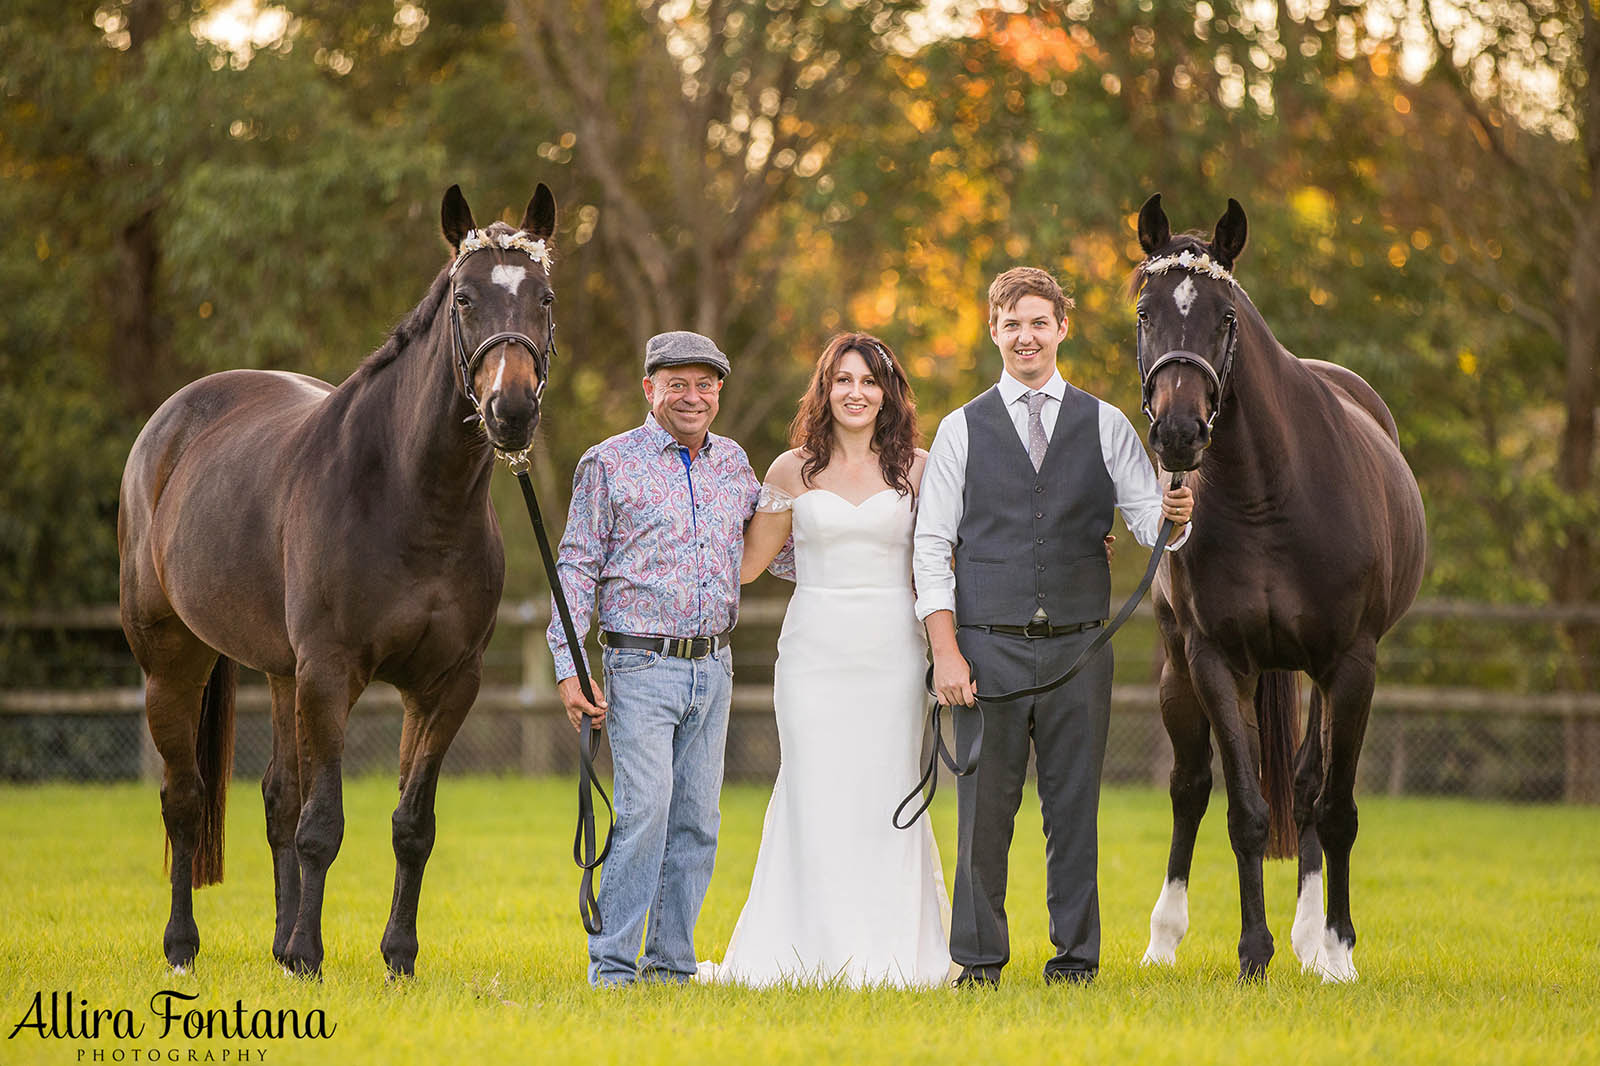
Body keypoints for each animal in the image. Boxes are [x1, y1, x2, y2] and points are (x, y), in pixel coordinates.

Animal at [118, 180, 560, 973]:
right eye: (465, 298)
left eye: (543, 297)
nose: (511, 410)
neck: (413, 497)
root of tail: (171, 422)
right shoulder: (330, 673)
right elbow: (323, 825)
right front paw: (309, 955)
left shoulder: (446, 686)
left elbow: (411, 824)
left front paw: (397, 956)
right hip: (173, 662)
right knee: (186, 800)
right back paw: (183, 945)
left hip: (280, 673)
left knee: (276, 799)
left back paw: (275, 943)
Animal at [1126, 192, 1427, 979]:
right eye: (1145, 311)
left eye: (1225, 317)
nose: (1179, 433)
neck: (1267, 493)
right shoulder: (1215, 661)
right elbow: (1246, 813)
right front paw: (1252, 955)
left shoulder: (1350, 665)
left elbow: (1335, 808)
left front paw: (1339, 949)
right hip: (1178, 667)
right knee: (1190, 788)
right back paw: (1164, 940)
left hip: (1319, 678)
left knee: (1310, 788)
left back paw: (1314, 941)